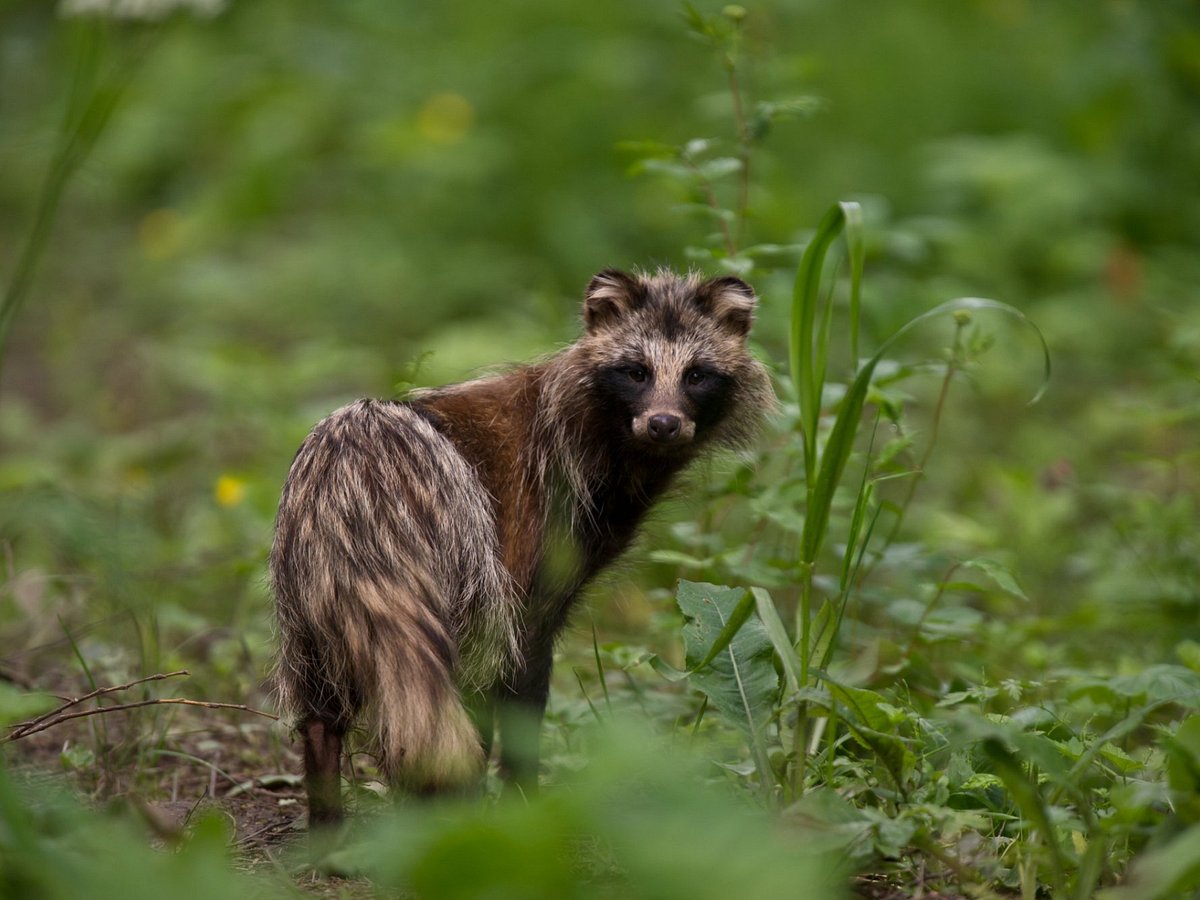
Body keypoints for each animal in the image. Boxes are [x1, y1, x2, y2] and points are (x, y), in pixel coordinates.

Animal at [271, 267, 772, 825]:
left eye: (696, 375)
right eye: (636, 372)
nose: (663, 424)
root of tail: (355, 462)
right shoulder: (534, 538)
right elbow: (517, 681)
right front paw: (523, 796)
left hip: (308, 586)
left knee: (321, 705)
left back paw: (326, 811)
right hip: (462, 552)